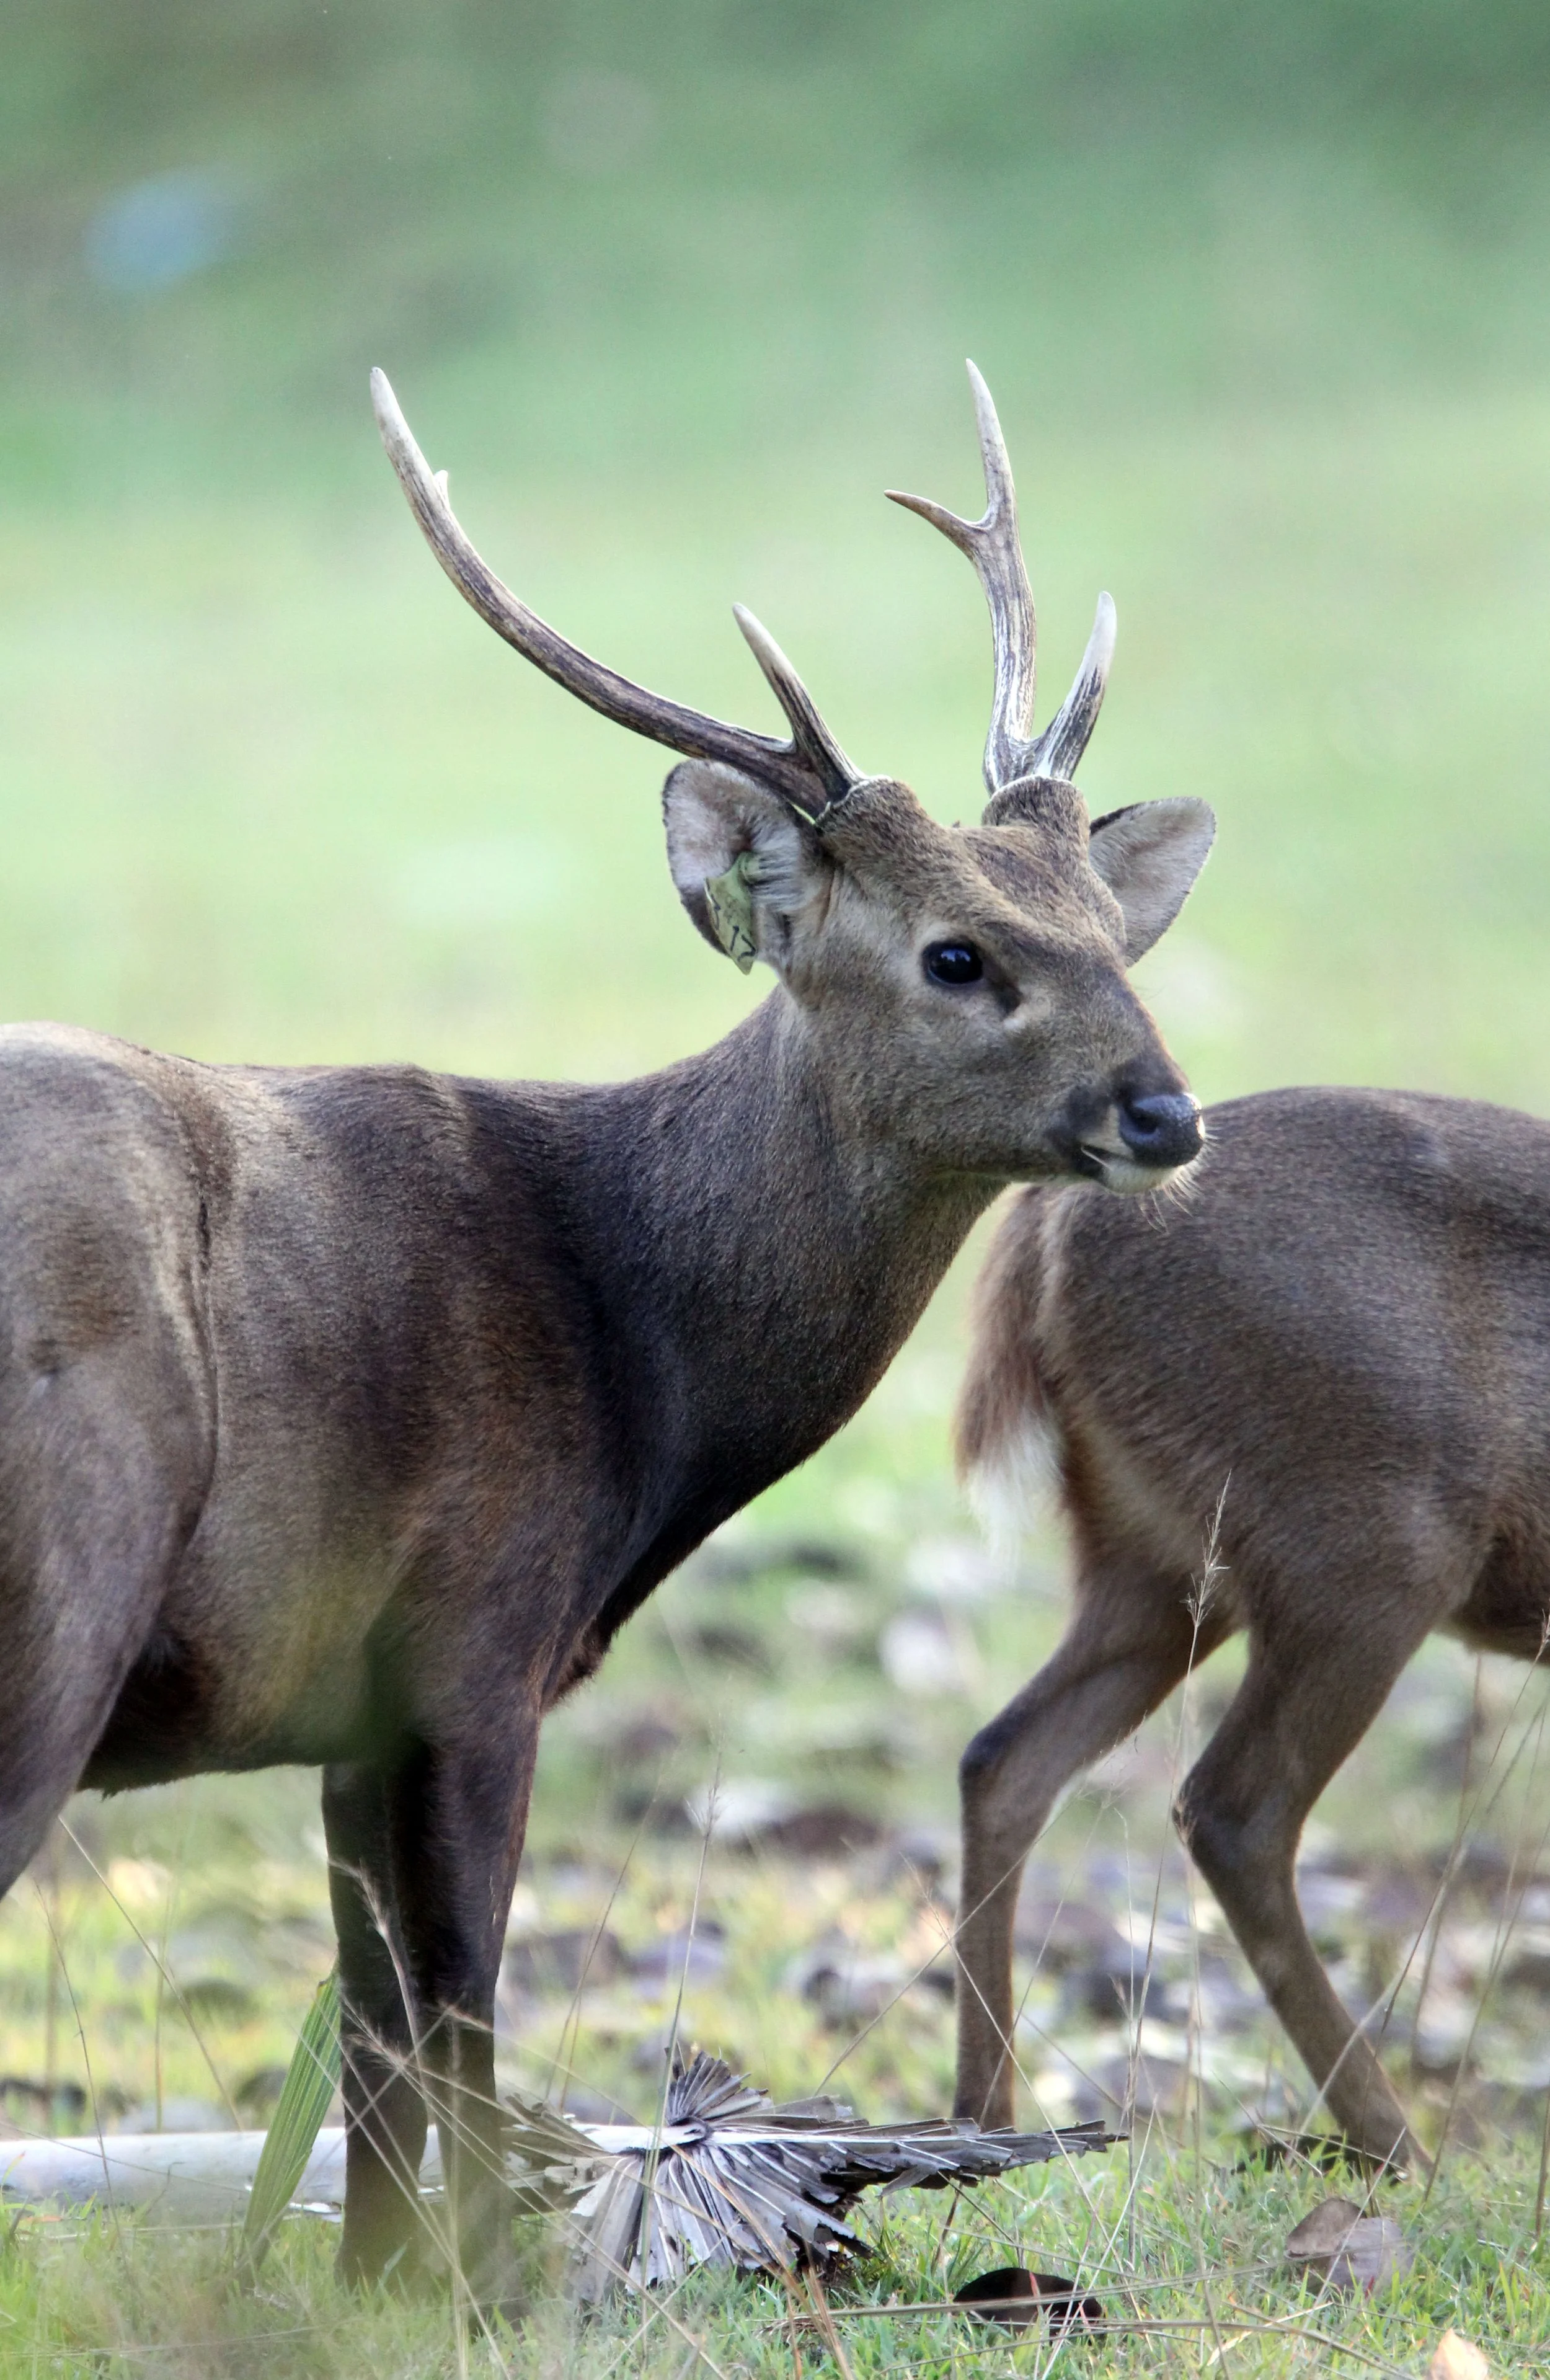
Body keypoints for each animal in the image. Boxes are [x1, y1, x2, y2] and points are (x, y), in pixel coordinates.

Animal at [0, 362, 1214, 2309]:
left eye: (1117, 930)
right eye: (956, 956)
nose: (1166, 1113)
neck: (627, 1349)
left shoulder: (354, 1710)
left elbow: (374, 2051)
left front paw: (374, 2293)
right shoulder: (477, 1635)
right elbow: (461, 2024)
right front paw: (466, 2291)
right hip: (65, 1585)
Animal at [950, 1083, 1550, 2174]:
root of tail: (1049, 1226)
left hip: (1156, 1557)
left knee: (1006, 1757)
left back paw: (987, 2124)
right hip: (1370, 1538)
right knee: (1236, 1808)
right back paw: (1399, 2150)